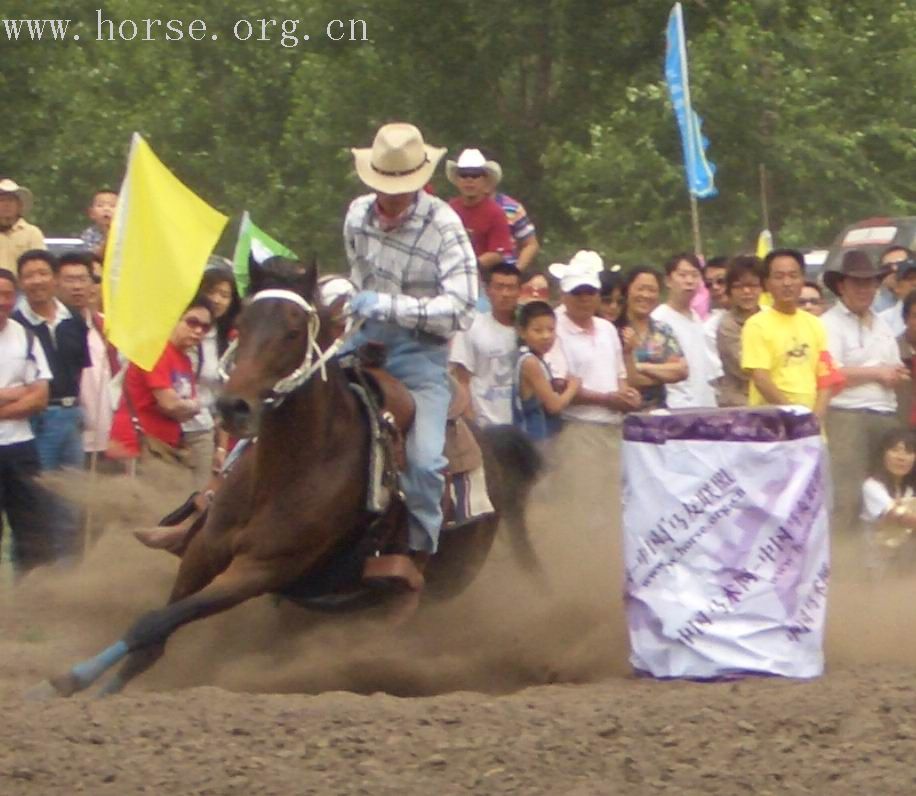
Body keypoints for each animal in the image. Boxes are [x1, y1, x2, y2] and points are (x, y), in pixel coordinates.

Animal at [32, 260, 540, 696]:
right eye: (241, 323)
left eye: (294, 330)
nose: (233, 406)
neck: (284, 472)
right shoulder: (204, 550)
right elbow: (154, 632)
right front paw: (93, 690)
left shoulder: (260, 569)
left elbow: (155, 622)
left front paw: (66, 681)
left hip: (428, 588)